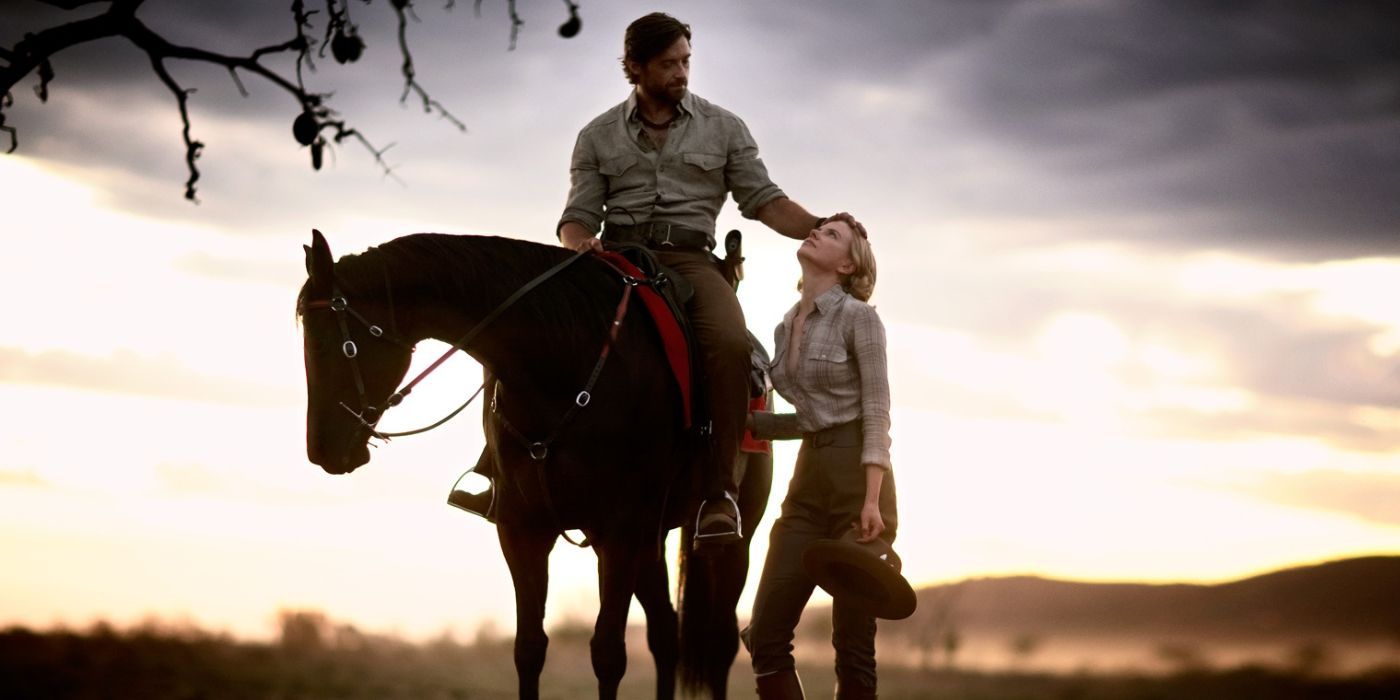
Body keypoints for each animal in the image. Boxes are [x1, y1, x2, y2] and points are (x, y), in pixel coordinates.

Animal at [296, 231, 772, 700]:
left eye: (333, 342)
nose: (322, 450)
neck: (566, 363)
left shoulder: (620, 531)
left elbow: (608, 653)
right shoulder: (524, 529)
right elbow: (528, 648)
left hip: (727, 541)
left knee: (719, 642)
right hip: (649, 542)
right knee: (664, 631)